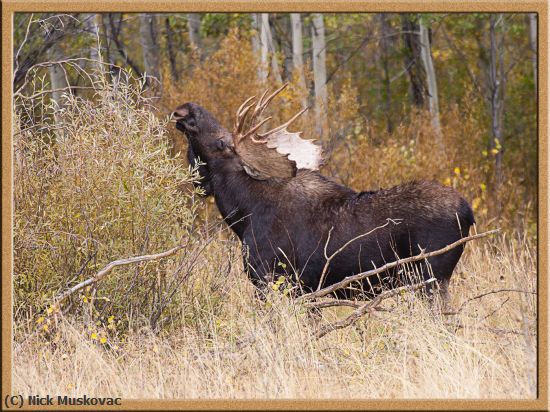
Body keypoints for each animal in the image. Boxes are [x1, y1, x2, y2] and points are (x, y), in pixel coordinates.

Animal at [175, 84, 476, 302]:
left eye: (222, 141)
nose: (186, 109)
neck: (242, 214)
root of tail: (468, 212)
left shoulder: (270, 278)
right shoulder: (307, 291)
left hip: (431, 277)